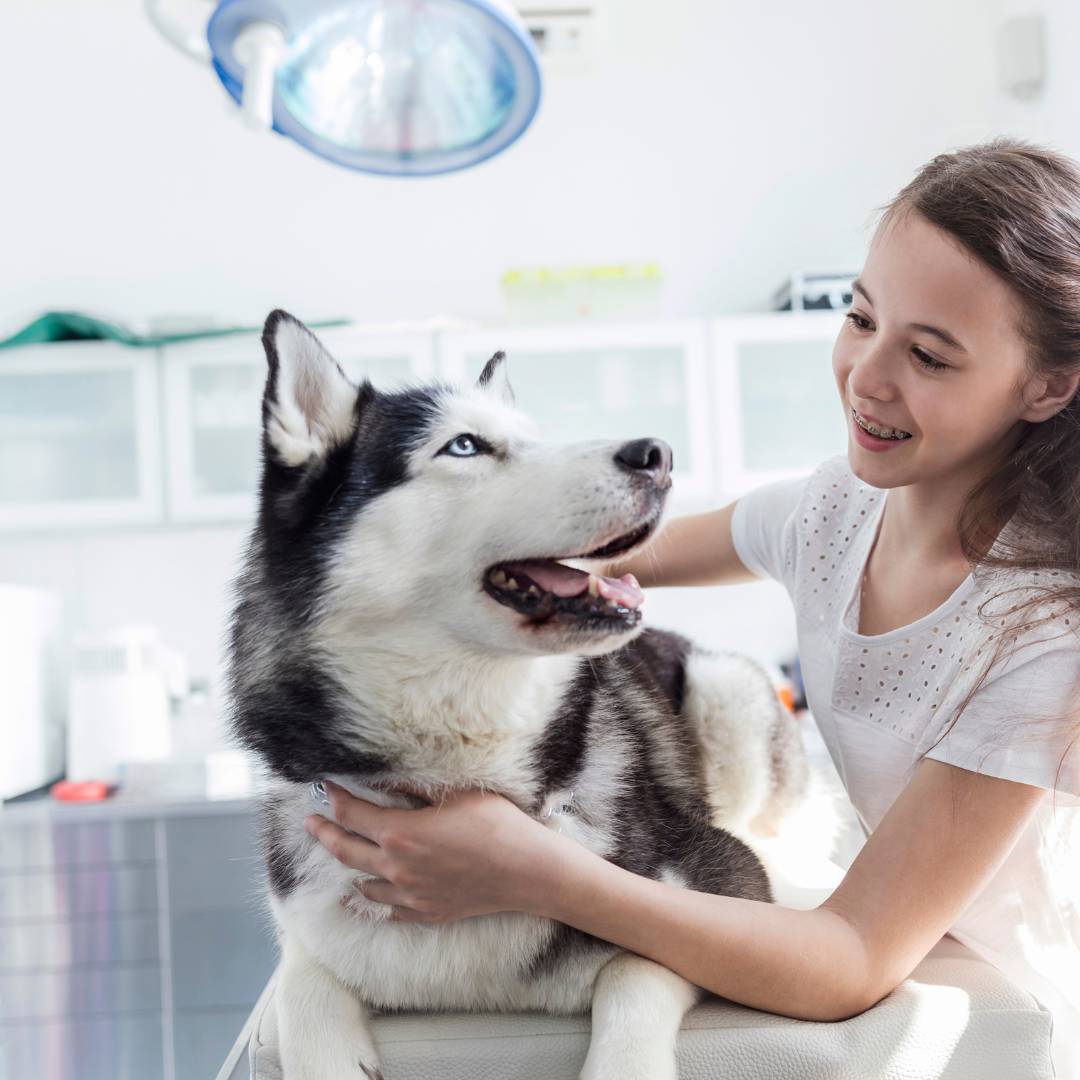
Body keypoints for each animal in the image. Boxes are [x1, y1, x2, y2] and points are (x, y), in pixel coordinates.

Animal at [230, 313, 812, 1080]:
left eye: (535, 435)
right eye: (465, 445)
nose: (658, 454)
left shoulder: (724, 886)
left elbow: (637, 968)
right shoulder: (307, 921)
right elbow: (302, 985)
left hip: (728, 692)